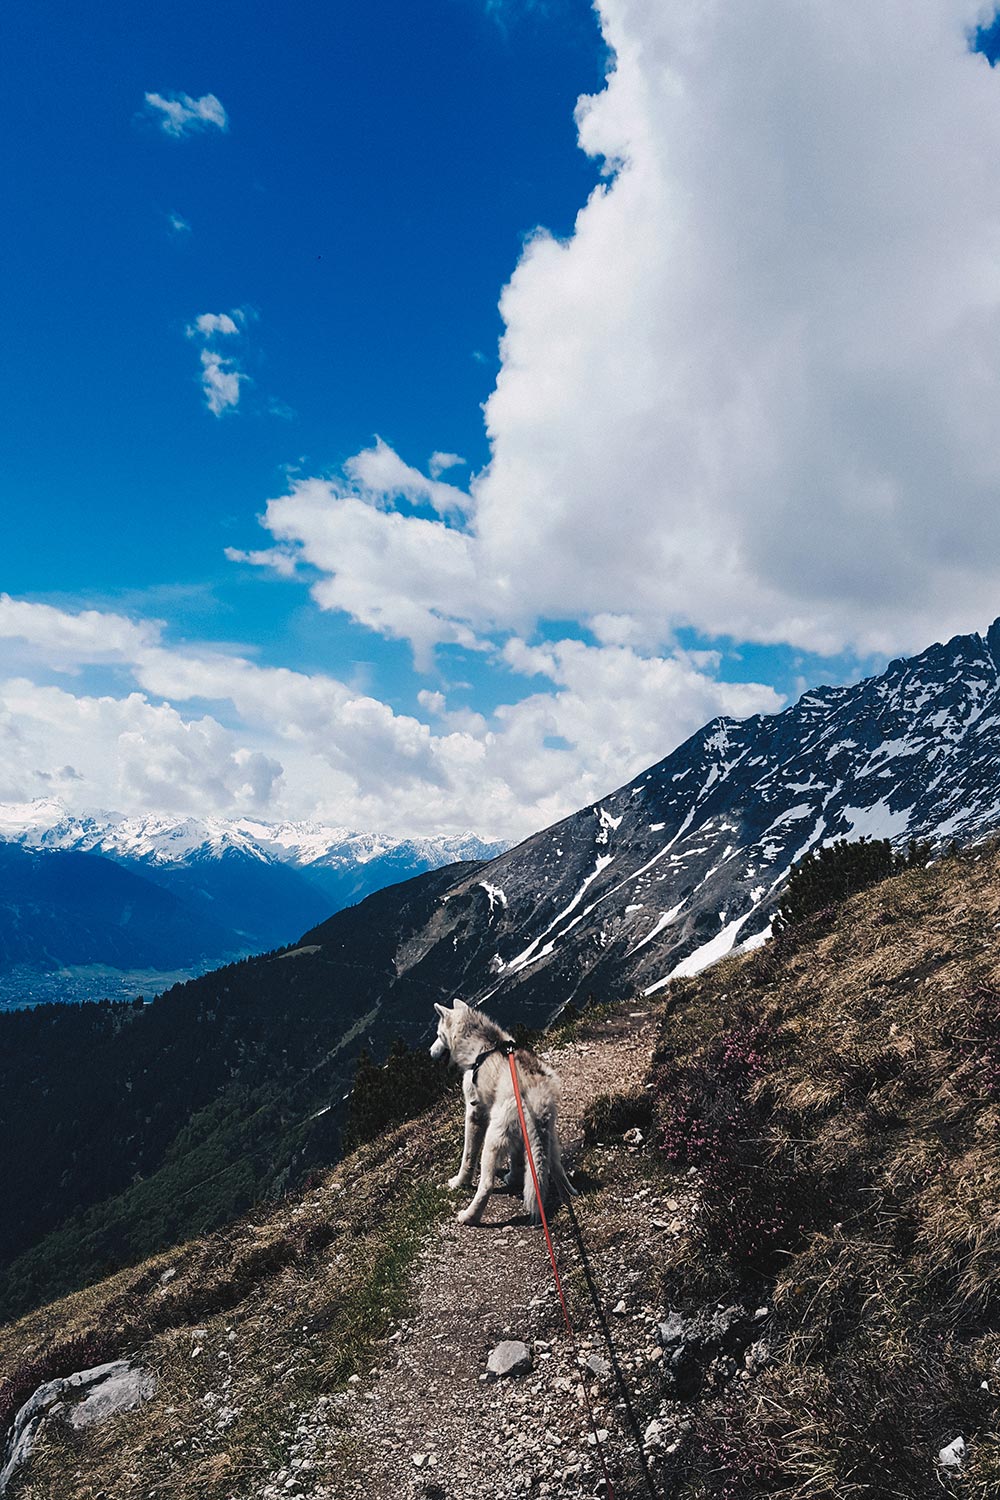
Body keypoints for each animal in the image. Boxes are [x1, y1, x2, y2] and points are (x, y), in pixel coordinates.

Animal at [428, 1002, 569, 1224]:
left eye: (438, 1034)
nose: (429, 1052)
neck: (480, 1044)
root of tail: (537, 1098)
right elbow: (517, 1158)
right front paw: (513, 1177)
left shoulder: (474, 1113)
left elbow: (467, 1158)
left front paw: (459, 1182)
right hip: (548, 1140)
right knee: (556, 1170)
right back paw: (569, 1196)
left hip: (492, 1141)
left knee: (486, 1186)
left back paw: (469, 1217)